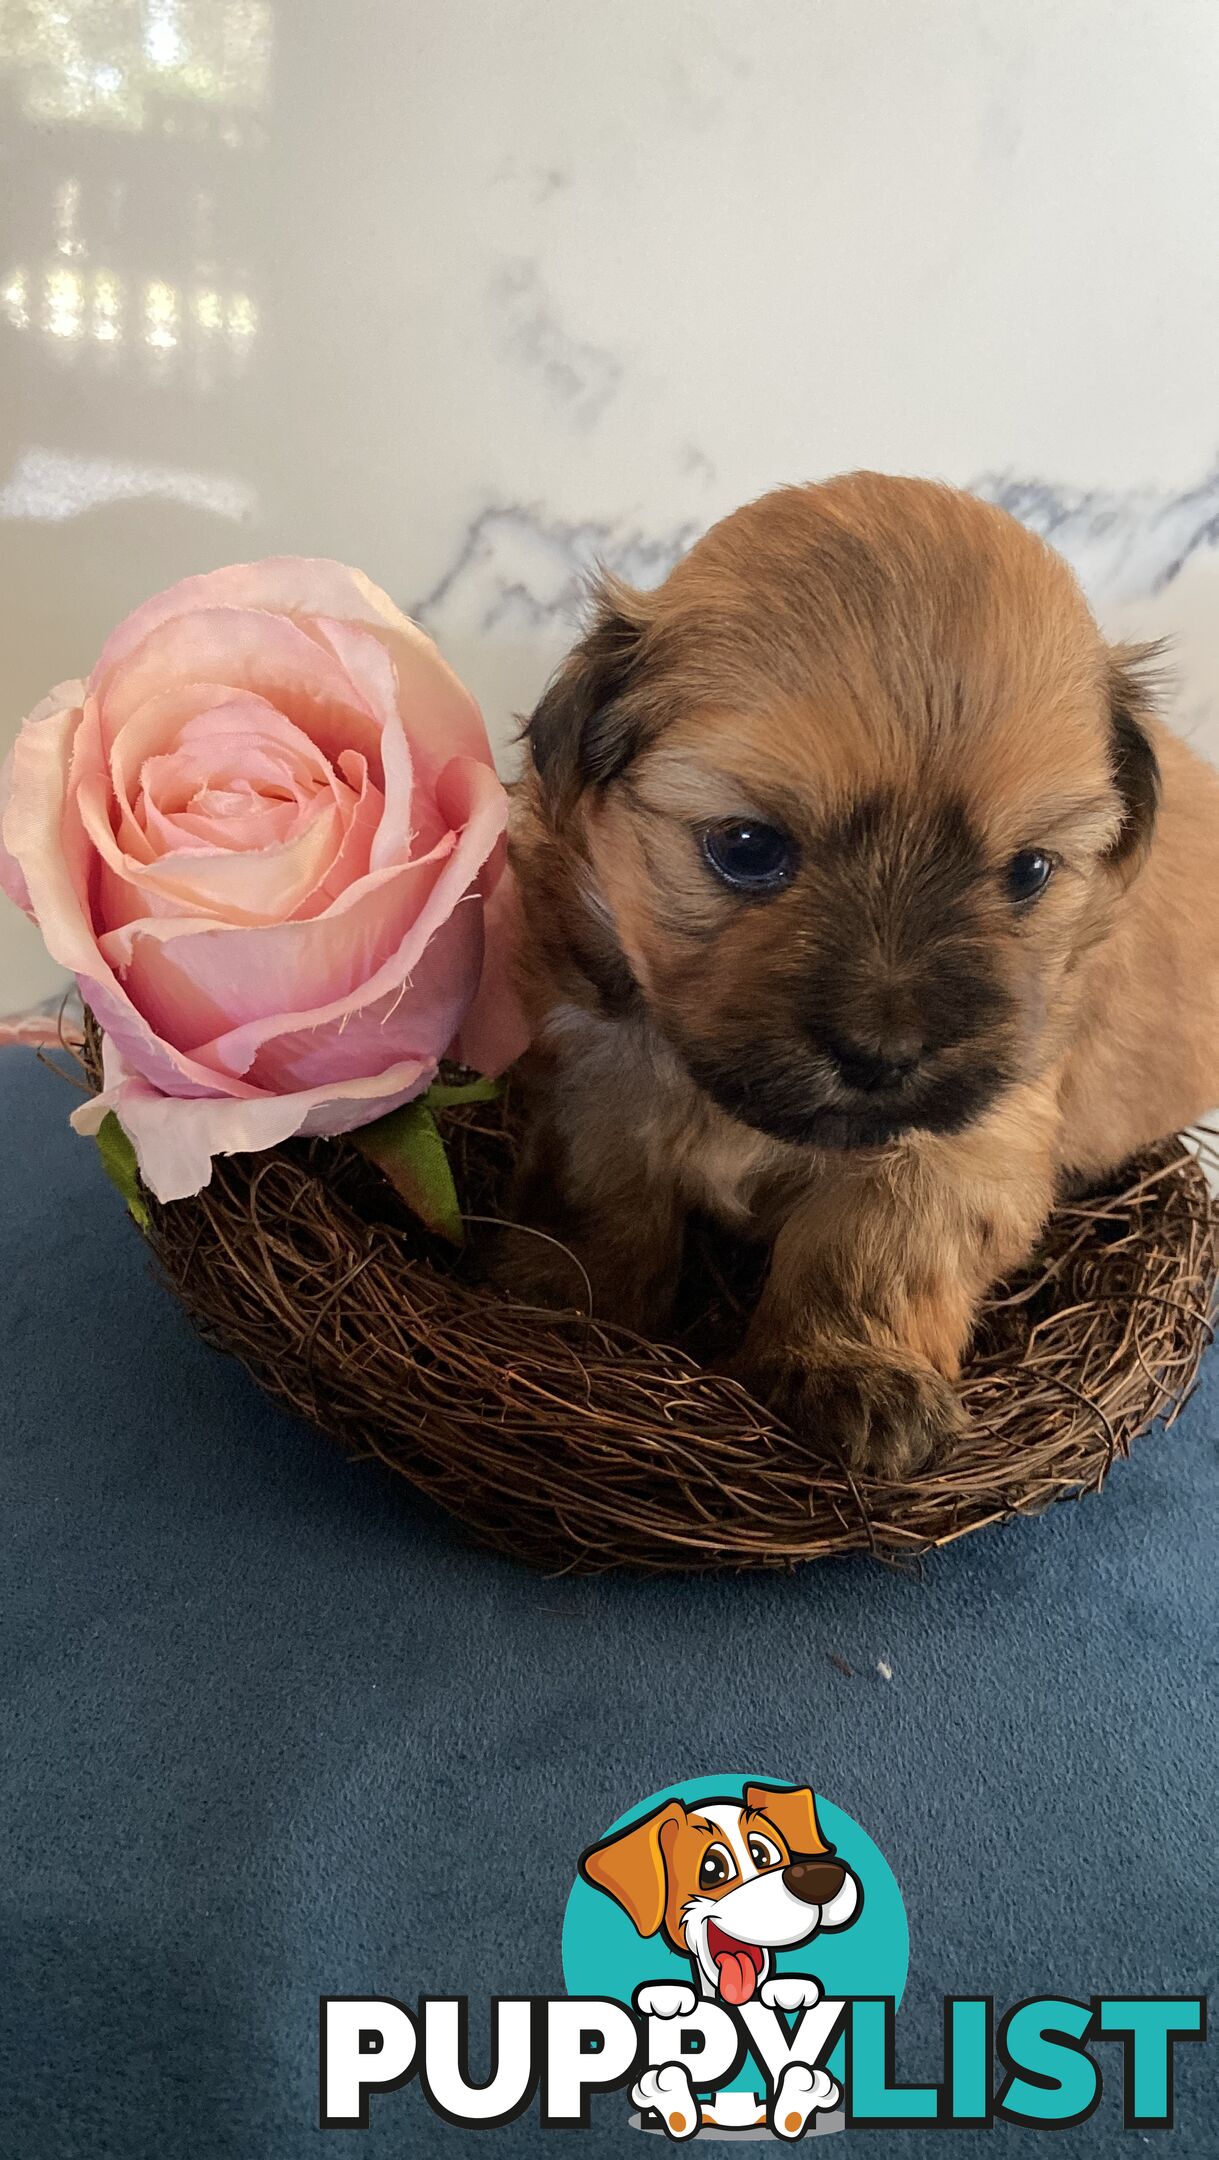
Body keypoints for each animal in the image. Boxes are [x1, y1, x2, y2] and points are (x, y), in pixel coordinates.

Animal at [501, 479, 1219, 1477]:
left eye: (1027, 872)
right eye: (747, 847)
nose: (884, 1053)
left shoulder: (965, 1139)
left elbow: (872, 1246)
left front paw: (852, 1371)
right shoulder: (596, 1067)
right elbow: (602, 1194)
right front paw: (567, 1298)